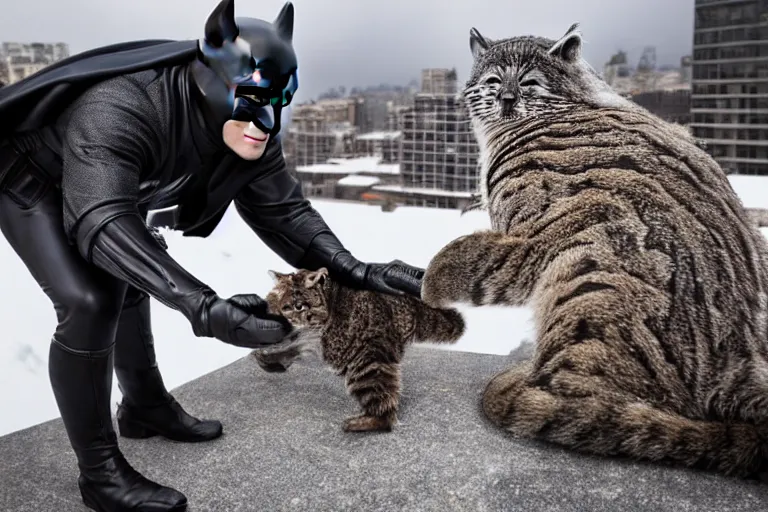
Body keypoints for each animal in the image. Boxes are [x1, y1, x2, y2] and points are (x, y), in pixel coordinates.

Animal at [250, 268, 462, 432]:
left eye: (298, 306)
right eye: (272, 302)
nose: (282, 319)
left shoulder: (330, 340)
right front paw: (274, 356)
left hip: (367, 361)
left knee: (382, 405)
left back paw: (373, 419)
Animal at [424, 23, 768, 480]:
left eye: (529, 82)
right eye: (494, 80)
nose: (507, 99)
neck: (570, 104)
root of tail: (739, 370)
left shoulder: (537, 233)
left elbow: (480, 262)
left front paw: (434, 281)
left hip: (592, 281)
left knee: (590, 413)